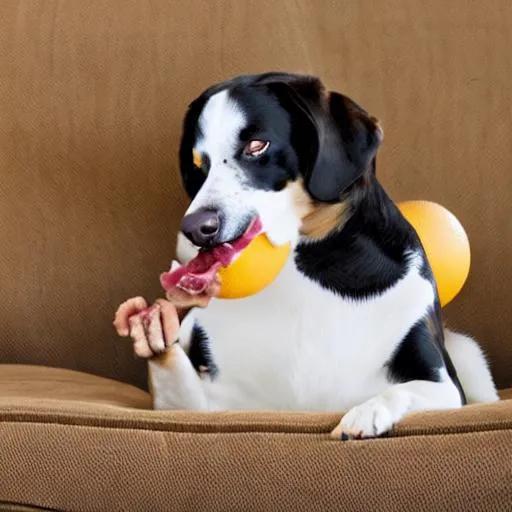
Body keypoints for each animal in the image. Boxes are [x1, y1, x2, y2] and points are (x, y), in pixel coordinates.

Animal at [114, 72, 498, 440]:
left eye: (257, 146)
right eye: (197, 165)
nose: (194, 228)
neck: (306, 272)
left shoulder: (445, 387)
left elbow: (399, 391)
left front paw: (366, 413)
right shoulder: (211, 406)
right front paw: (154, 328)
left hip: (469, 354)